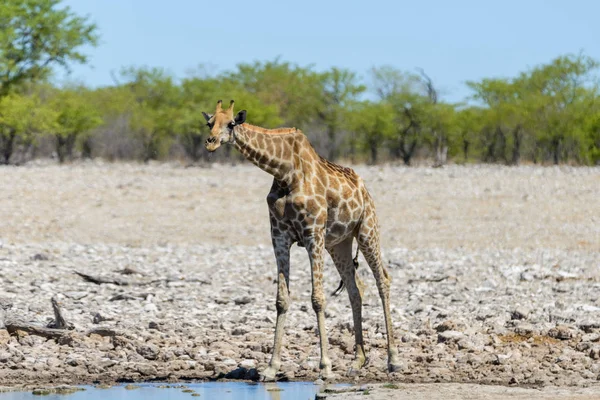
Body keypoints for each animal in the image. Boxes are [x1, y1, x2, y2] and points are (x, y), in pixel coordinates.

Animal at [204, 98, 400, 380]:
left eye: (231, 123)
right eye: (209, 122)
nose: (210, 142)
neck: (285, 171)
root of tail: (365, 189)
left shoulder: (312, 233)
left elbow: (317, 299)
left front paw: (325, 366)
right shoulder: (279, 236)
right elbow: (281, 300)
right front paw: (271, 367)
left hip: (367, 230)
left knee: (382, 280)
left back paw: (393, 359)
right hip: (338, 244)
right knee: (356, 288)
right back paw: (357, 360)